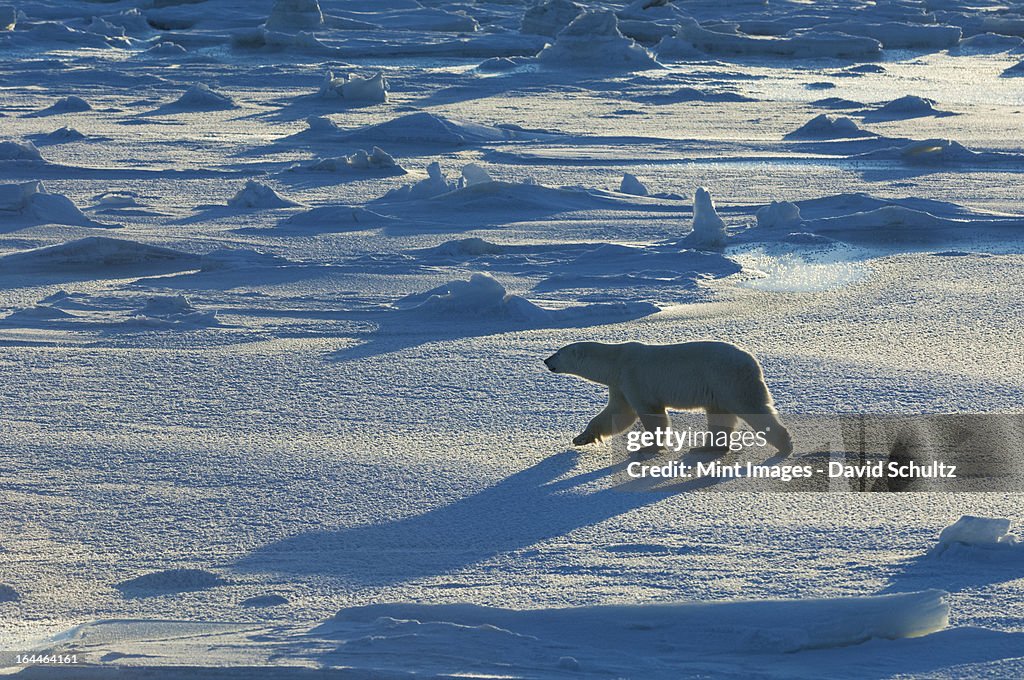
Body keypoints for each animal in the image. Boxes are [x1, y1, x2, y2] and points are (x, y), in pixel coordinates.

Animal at [544, 342, 790, 454]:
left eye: (558, 353)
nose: (546, 360)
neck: (617, 361)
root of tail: (754, 363)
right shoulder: (620, 385)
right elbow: (618, 413)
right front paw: (581, 438)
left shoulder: (634, 377)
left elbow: (650, 414)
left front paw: (648, 446)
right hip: (718, 389)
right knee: (720, 416)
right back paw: (707, 447)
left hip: (730, 380)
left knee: (753, 408)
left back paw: (785, 444)